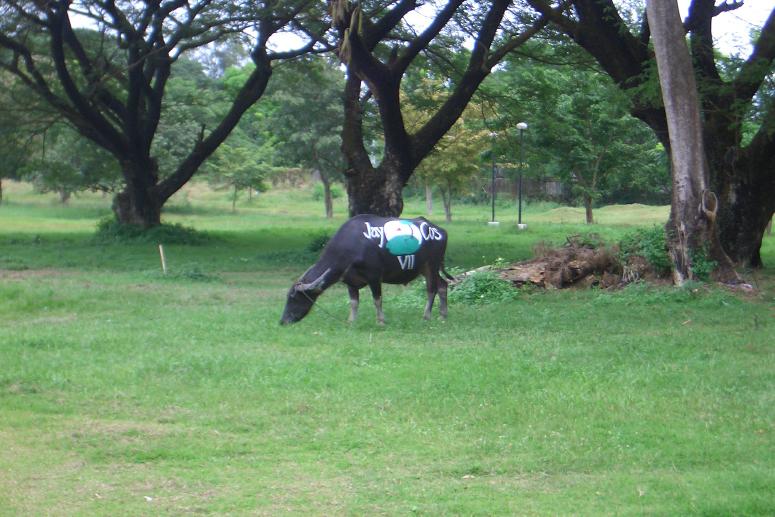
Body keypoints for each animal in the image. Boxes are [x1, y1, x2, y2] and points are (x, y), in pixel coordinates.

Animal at [282, 216, 454, 324]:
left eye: (293, 297)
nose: (283, 321)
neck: (352, 245)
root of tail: (440, 231)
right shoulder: (350, 281)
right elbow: (353, 302)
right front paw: (351, 321)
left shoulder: (374, 277)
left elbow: (377, 300)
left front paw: (381, 321)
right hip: (425, 269)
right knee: (443, 285)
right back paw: (443, 315)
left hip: (431, 266)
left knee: (431, 289)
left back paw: (426, 316)